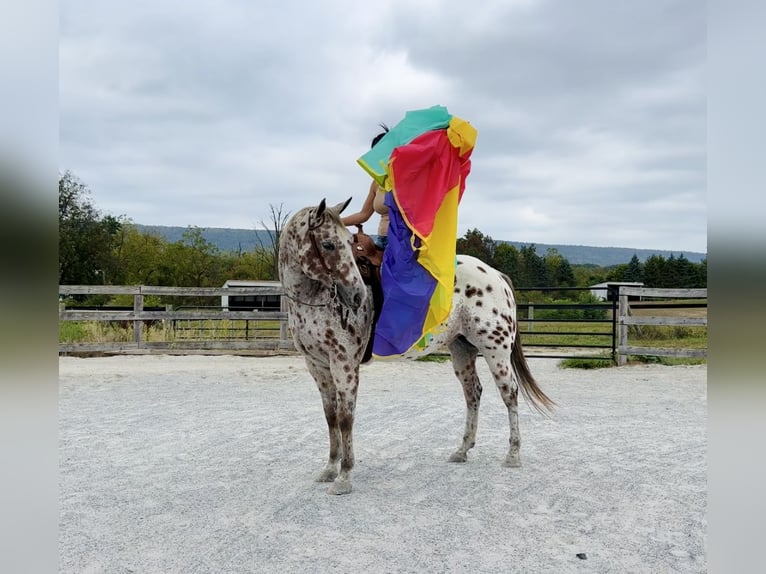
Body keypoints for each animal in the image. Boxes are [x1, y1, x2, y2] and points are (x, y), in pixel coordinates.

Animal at [278, 198, 555, 495]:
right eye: (328, 244)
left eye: (346, 241)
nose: (356, 296)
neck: (314, 298)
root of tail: (496, 276)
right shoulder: (317, 365)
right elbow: (330, 416)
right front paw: (330, 469)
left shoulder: (344, 363)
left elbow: (345, 417)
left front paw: (344, 476)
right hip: (462, 349)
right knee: (473, 393)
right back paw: (462, 449)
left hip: (496, 350)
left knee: (509, 394)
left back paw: (513, 454)